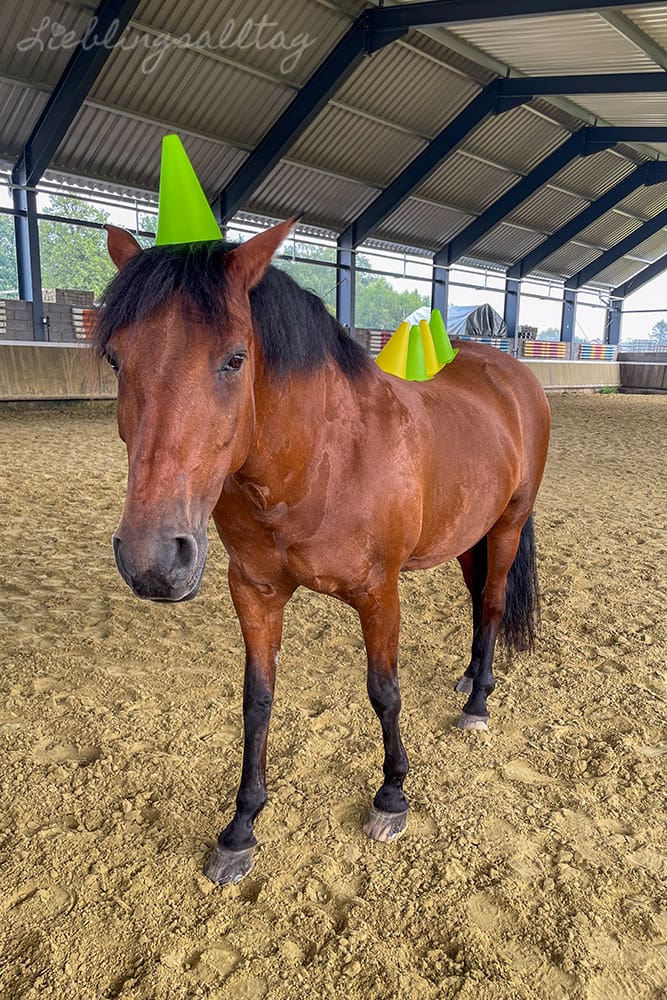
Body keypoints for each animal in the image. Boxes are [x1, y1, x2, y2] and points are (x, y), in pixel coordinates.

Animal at [95, 219, 552, 884]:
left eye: (235, 358)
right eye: (116, 359)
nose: (153, 560)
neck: (318, 458)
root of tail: (511, 373)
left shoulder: (378, 592)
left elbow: (384, 690)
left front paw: (392, 796)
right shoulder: (254, 592)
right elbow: (257, 703)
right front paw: (241, 828)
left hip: (509, 524)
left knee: (491, 603)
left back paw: (478, 702)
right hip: (471, 532)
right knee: (475, 599)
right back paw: (469, 677)